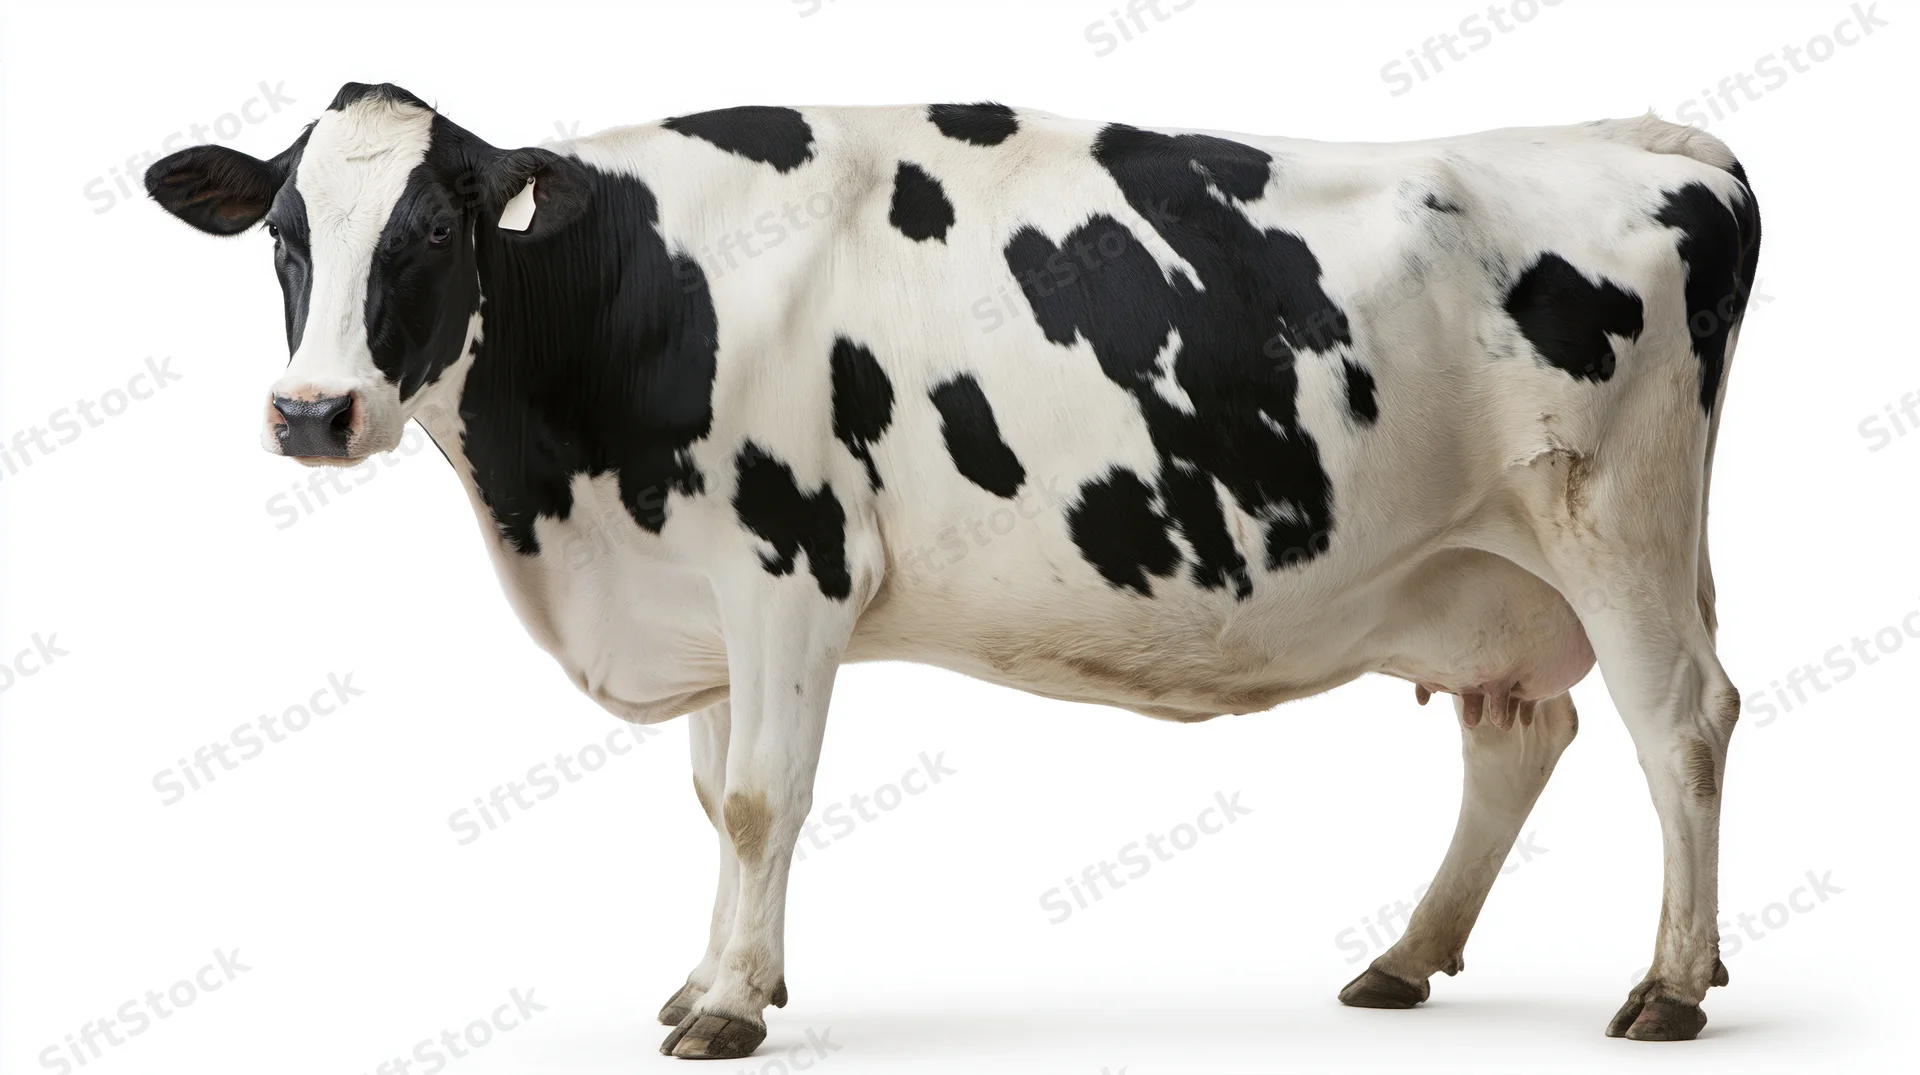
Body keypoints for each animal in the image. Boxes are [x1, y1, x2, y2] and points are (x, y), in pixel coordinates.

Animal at [144, 83, 1760, 1059]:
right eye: (286, 233)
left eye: (432, 228)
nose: (311, 411)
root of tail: (1652, 140)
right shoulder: (700, 592)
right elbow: (709, 799)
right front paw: (714, 972)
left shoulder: (787, 565)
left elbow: (757, 799)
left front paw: (729, 1004)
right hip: (1493, 569)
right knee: (1522, 731)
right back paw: (1411, 955)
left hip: (1616, 526)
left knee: (1682, 722)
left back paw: (1669, 982)